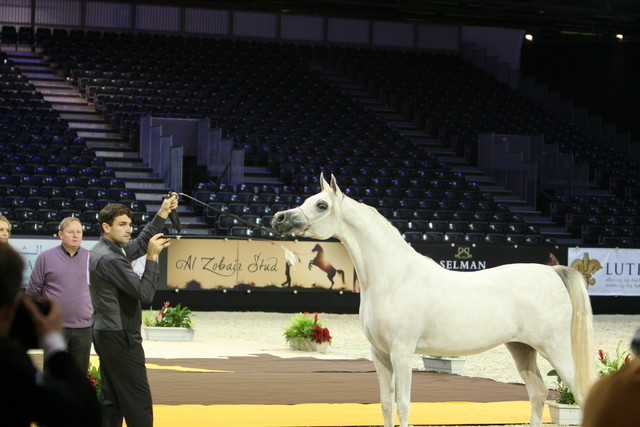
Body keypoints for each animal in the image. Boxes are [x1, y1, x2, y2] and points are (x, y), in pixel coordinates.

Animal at [272, 173, 596, 427]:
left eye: (321, 205)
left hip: (555, 349)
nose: (279, 218)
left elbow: (403, 405)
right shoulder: (380, 355)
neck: (394, 277)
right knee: (538, 394)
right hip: (522, 349)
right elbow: (386, 405)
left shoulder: (402, 353)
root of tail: (553, 272)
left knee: (579, 393)